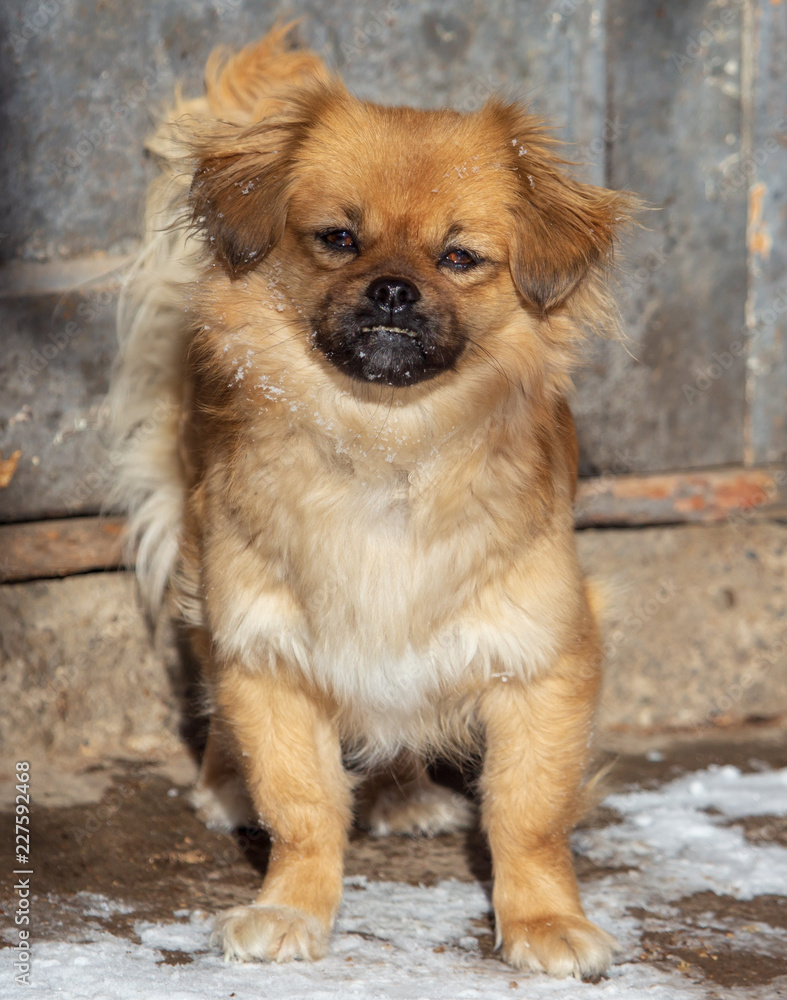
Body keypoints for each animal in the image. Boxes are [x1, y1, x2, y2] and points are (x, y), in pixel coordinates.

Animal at [111, 23, 636, 976]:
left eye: (458, 258)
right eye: (337, 240)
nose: (393, 288)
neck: (389, 449)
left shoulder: (542, 660)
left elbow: (527, 816)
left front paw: (544, 922)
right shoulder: (268, 654)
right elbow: (303, 809)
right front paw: (289, 908)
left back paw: (399, 793)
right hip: (209, 581)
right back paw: (224, 783)